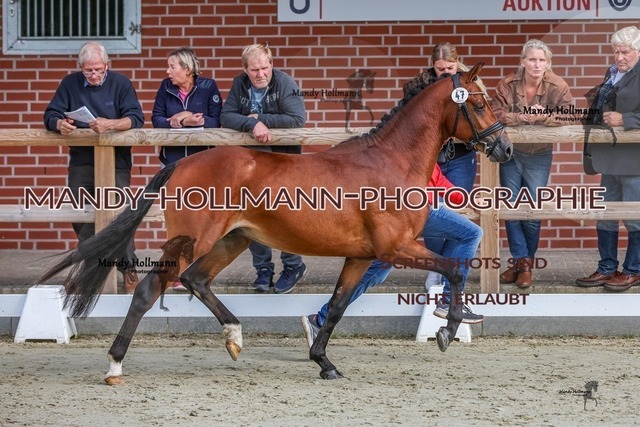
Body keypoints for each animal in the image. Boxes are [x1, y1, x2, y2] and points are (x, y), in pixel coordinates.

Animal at [40, 63, 512, 384]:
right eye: (480, 103)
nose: (504, 148)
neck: (390, 162)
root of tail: (184, 165)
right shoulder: (395, 250)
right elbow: (455, 269)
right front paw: (447, 330)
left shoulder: (362, 257)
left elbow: (338, 305)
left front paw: (324, 363)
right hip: (195, 240)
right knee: (148, 290)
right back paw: (115, 365)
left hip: (230, 242)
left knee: (196, 281)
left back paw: (234, 337)